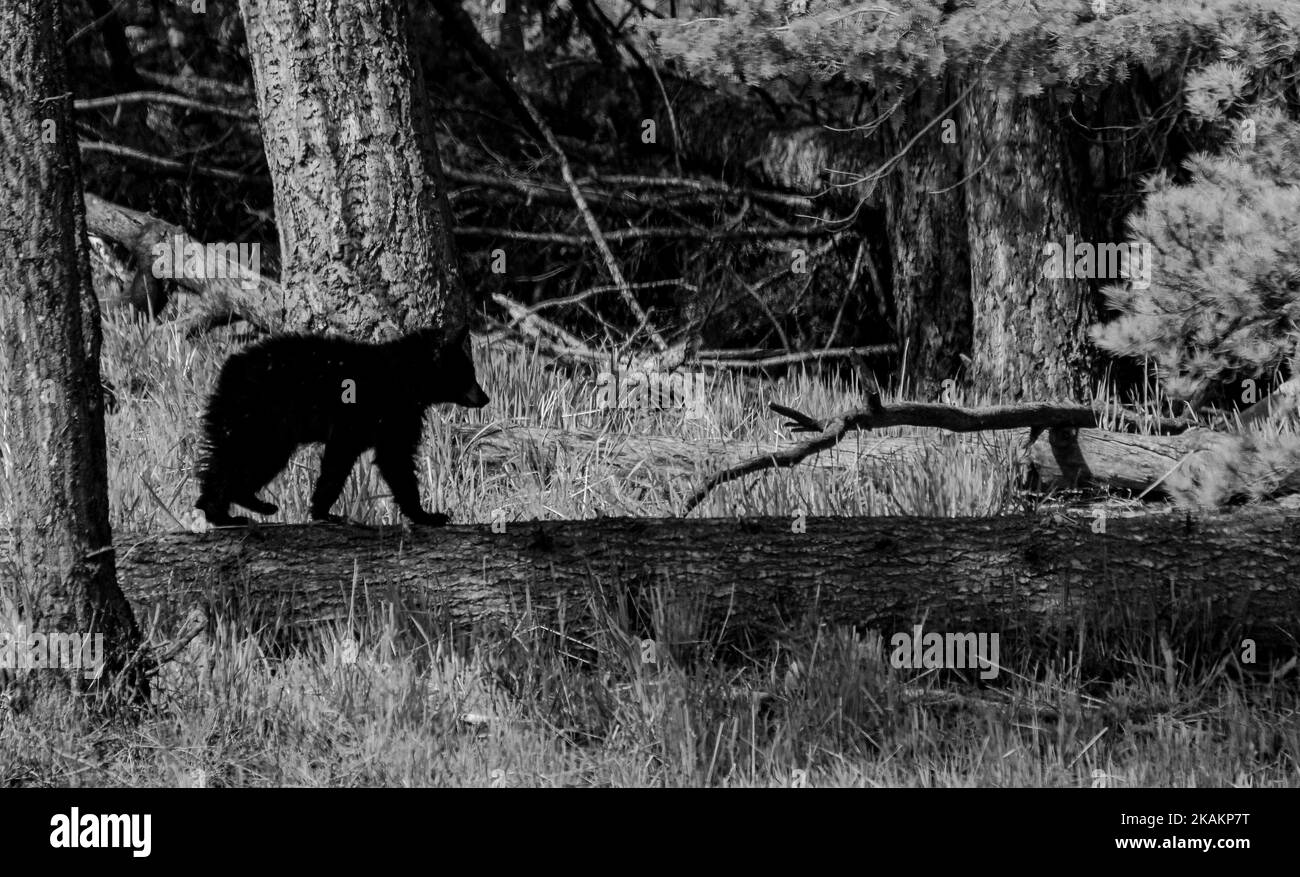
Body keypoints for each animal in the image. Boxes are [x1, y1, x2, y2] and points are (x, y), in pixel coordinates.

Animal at [195, 324, 489, 527]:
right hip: (259, 418)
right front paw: (428, 515)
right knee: (241, 460)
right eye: (468, 373)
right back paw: (225, 514)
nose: (485, 398)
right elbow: (383, 460)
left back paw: (246, 506)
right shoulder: (372, 415)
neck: (405, 376)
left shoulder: (389, 419)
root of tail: (229, 370)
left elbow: (382, 458)